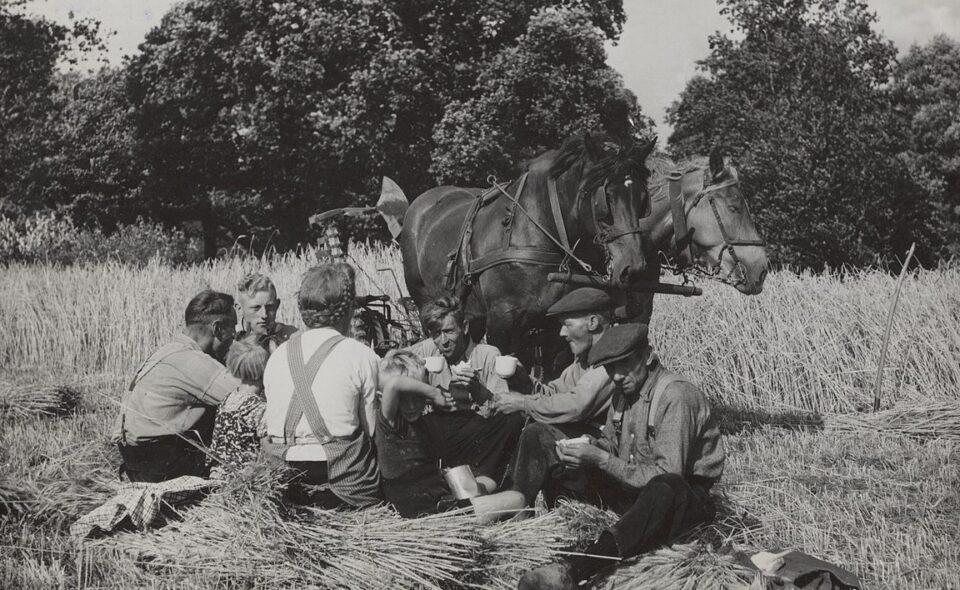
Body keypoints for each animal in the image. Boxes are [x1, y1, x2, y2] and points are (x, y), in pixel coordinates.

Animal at [402, 132, 656, 368]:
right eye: (606, 199)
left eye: (643, 199)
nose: (633, 267)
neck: (536, 231)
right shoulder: (501, 320)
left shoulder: (556, 322)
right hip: (426, 303)